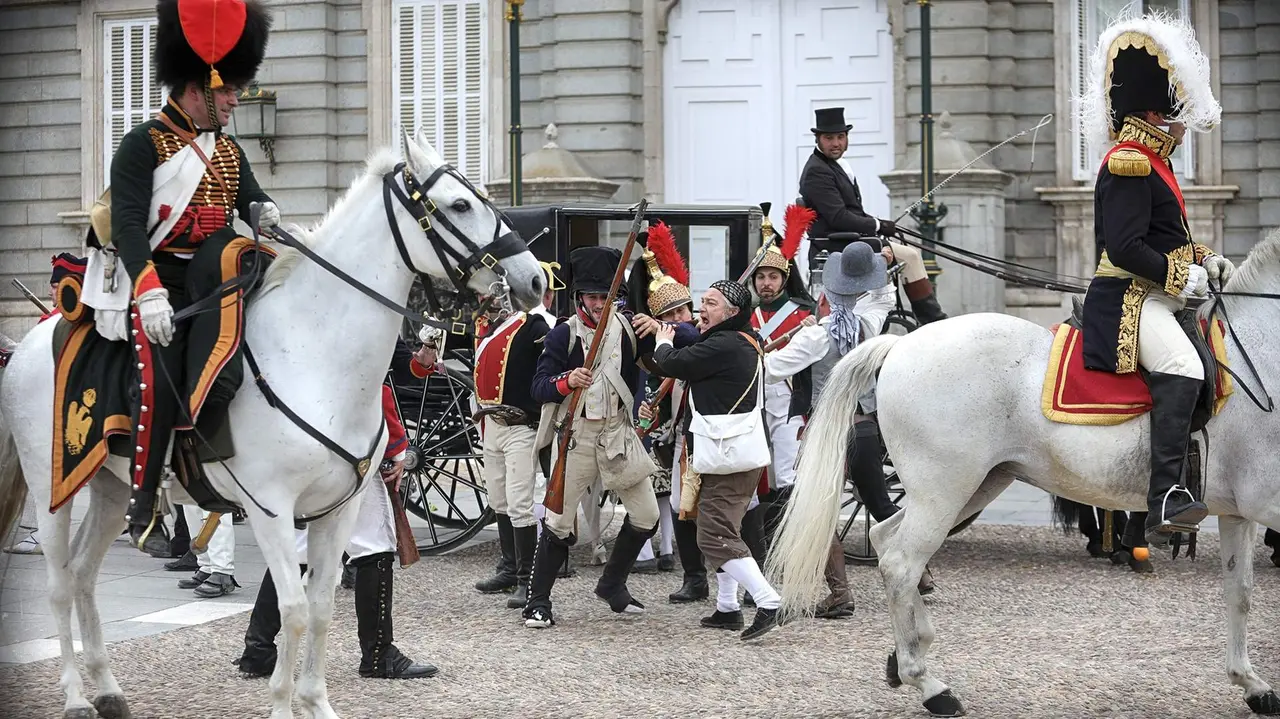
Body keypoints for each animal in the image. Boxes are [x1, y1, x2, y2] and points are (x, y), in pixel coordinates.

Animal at [0, 129, 542, 716]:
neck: (314, 353)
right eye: (460, 205)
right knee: (58, 582)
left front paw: (316, 702)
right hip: (52, 485)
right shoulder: (270, 508)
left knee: (82, 573)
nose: (536, 278)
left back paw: (107, 688)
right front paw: (284, 702)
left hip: (110, 484)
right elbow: (294, 609)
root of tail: (34, 338)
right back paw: (77, 695)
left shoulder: (339, 508)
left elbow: (322, 607)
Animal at [768, 227, 1280, 711]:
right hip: (944, 490)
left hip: (971, 486)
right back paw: (929, 684)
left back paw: (909, 649)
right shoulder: (1267, 504)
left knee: (885, 538)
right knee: (900, 561)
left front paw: (1251, 684)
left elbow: (1240, 592)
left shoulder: (1239, 511)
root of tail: (900, 343)